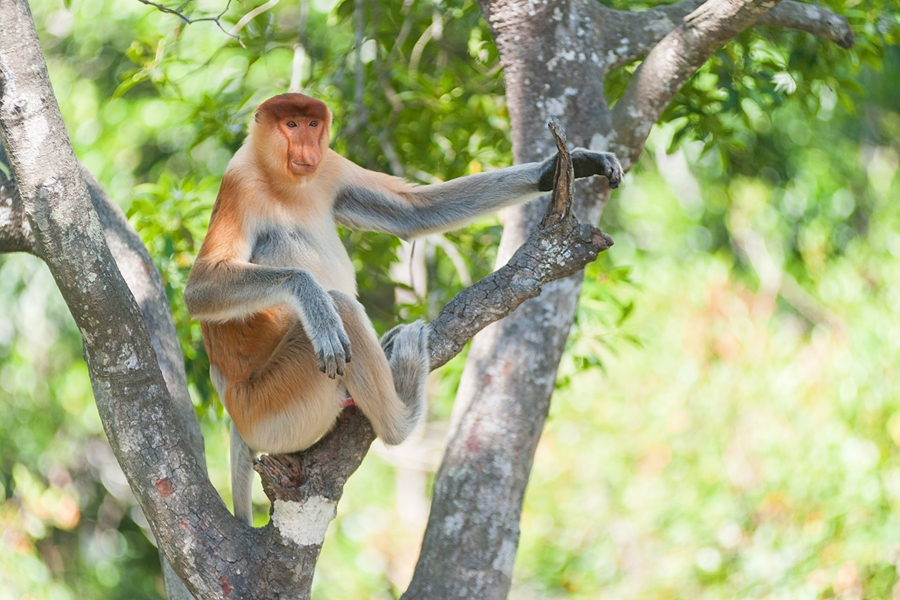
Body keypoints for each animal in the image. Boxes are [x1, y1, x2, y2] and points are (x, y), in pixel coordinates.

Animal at [186, 94, 624, 524]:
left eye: (313, 124)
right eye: (290, 125)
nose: (307, 149)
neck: (286, 183)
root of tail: (235, 410)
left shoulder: (331, 167)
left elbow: (411, 212)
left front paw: (568, 165)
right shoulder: (241, 182)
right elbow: (200, 289)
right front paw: (313, 299)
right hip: (272, 407)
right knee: (341, 309)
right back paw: (402, 409)